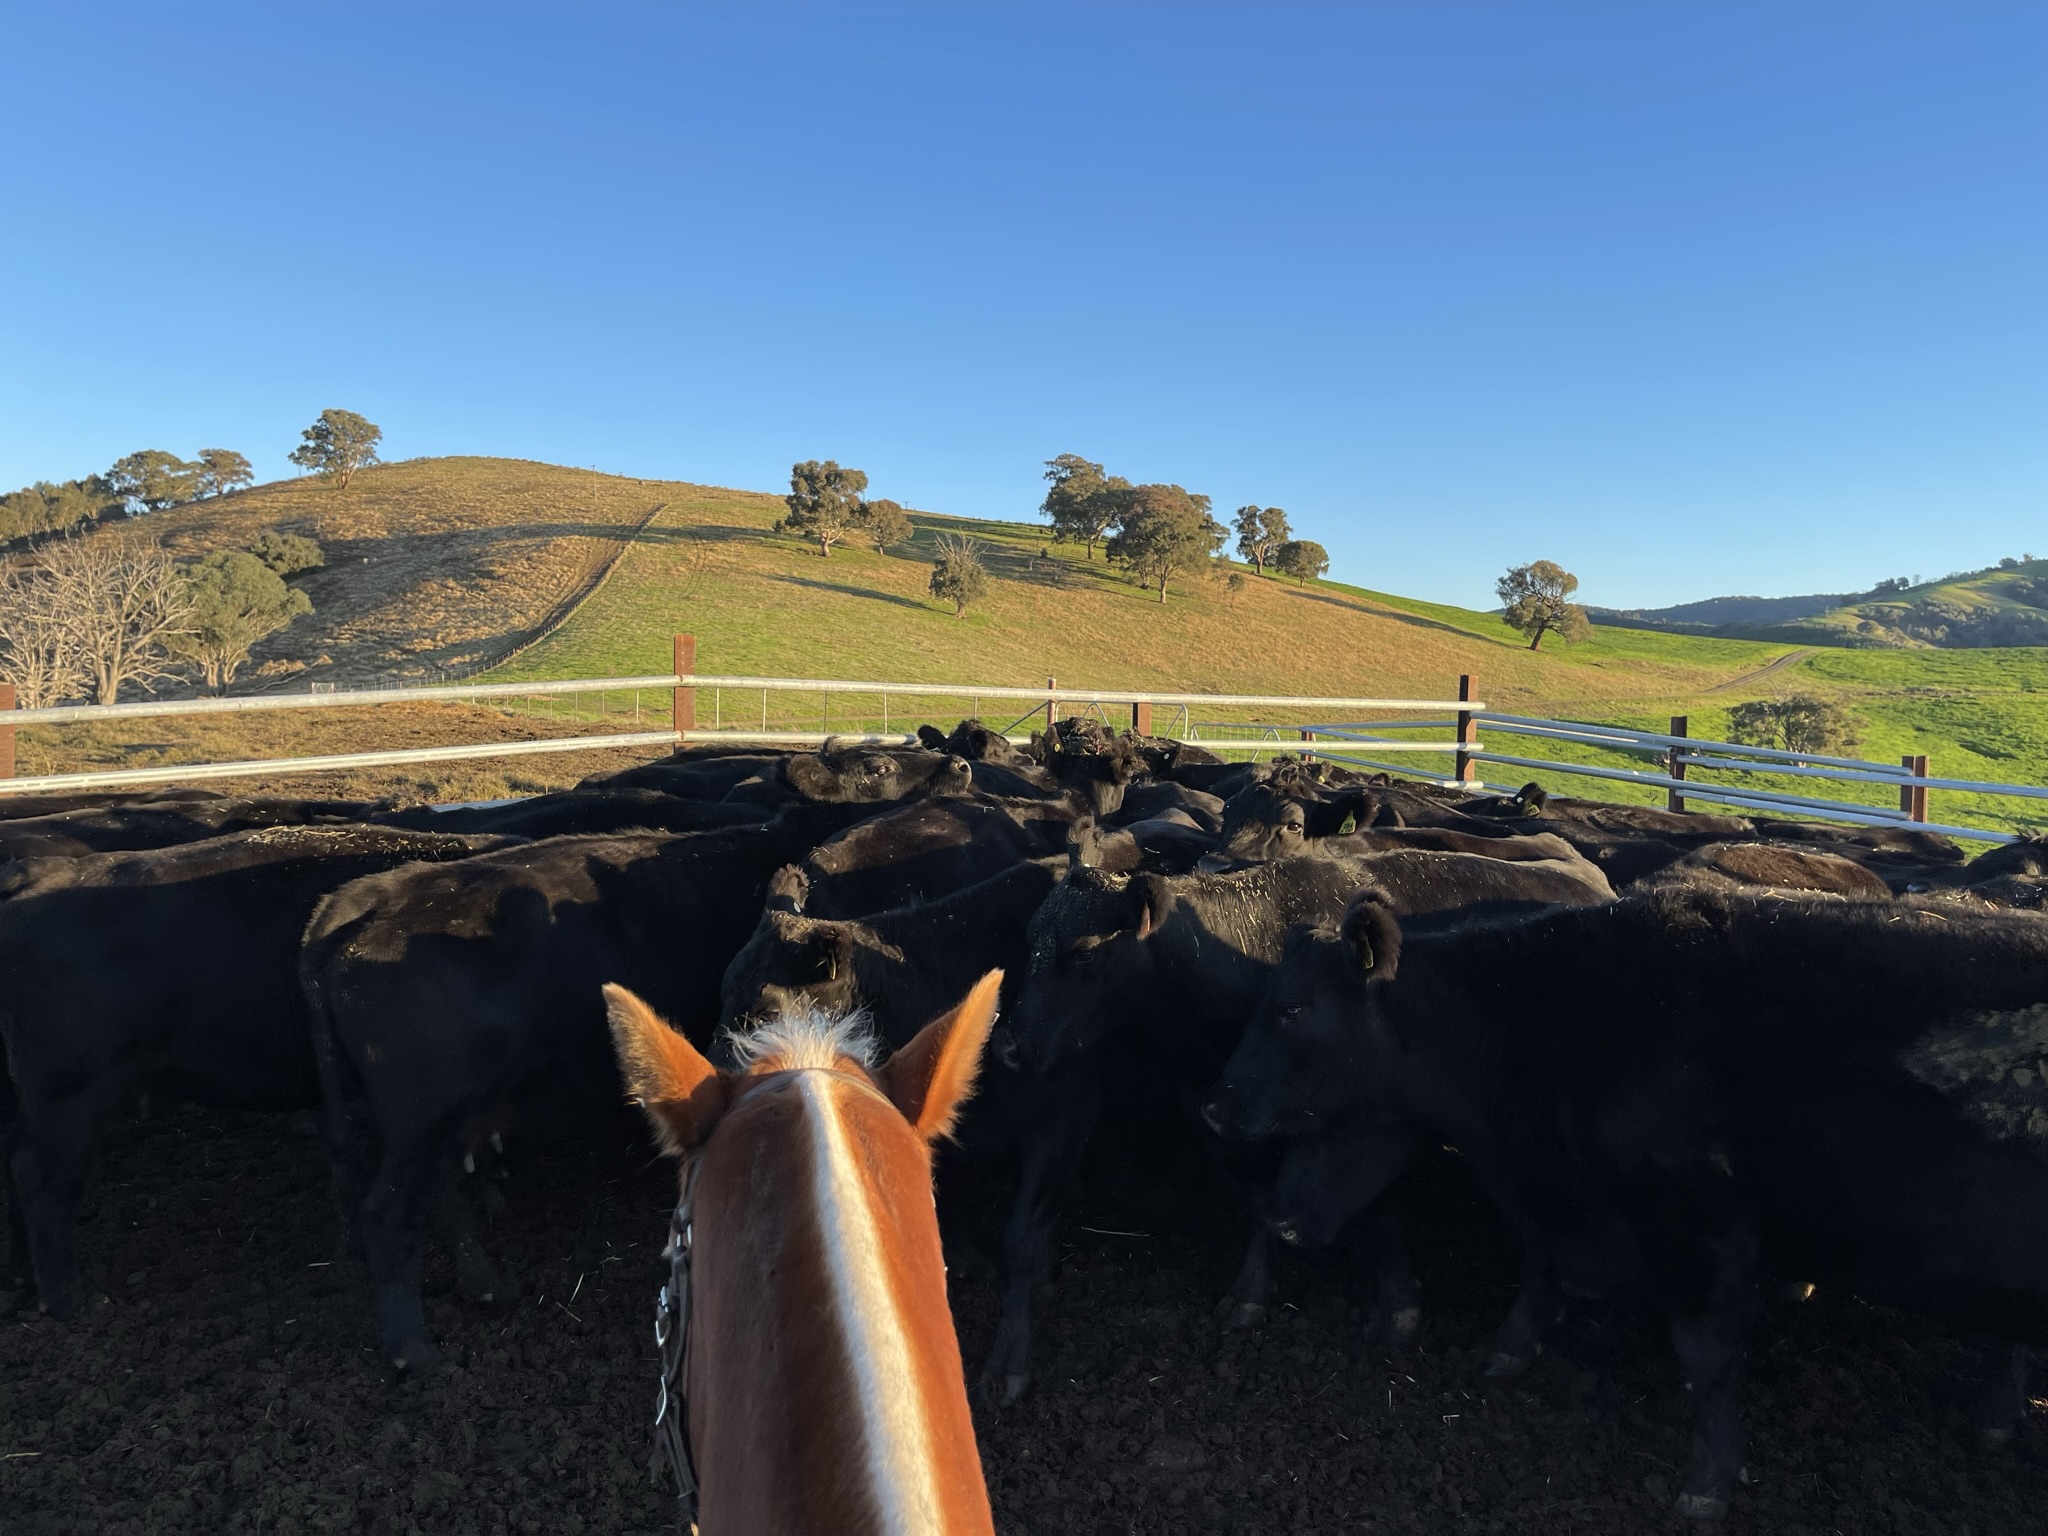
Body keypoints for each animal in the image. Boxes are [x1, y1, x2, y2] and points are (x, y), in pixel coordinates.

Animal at [0, 825, 513, 1318]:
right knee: (38, 1178)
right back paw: (68, 1300)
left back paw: (23, 1281)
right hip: (70, 1097)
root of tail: (37, 876)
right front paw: (482, 1280)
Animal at [1201, 886, 2048, 1520]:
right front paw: (1510, 1348)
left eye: (1292, 1008)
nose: (1214, 1105)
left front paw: (1705, 1486)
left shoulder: (1698, 1225)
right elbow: (1539, 1263)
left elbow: (1705, 1357)